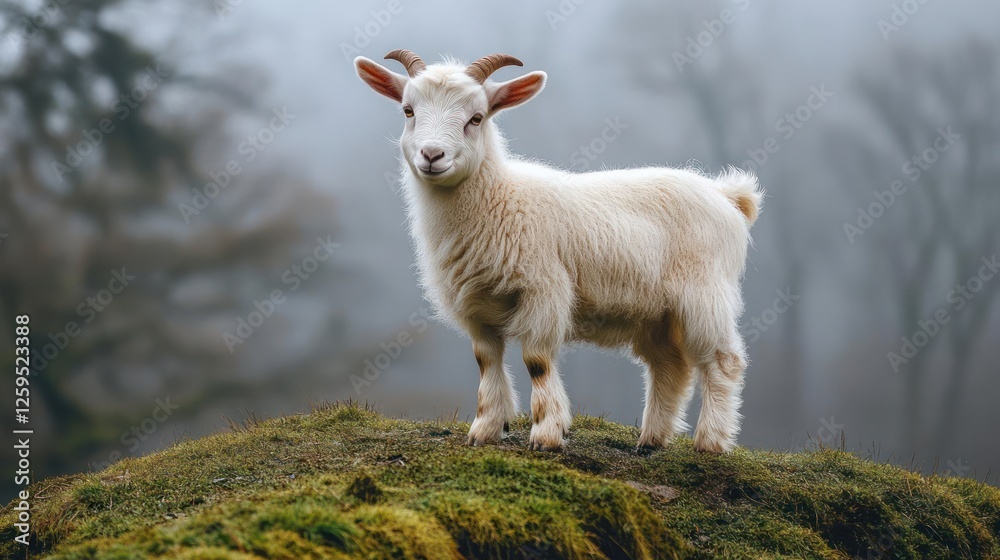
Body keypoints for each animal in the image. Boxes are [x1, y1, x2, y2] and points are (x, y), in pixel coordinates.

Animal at [355, 50, 762, 453]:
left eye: (476, 117)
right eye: (408, 111)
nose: (431, 155)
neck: (501, 198)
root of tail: (727, 195)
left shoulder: (543, 290)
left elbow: (536, 361)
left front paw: (548, 434)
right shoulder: (476, 305)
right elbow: (486, 360)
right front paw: (486, 429)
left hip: (703, 292)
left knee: (723, 360)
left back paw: (710, 441)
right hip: (656, 312)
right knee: (669, 365)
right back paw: (651, 440)